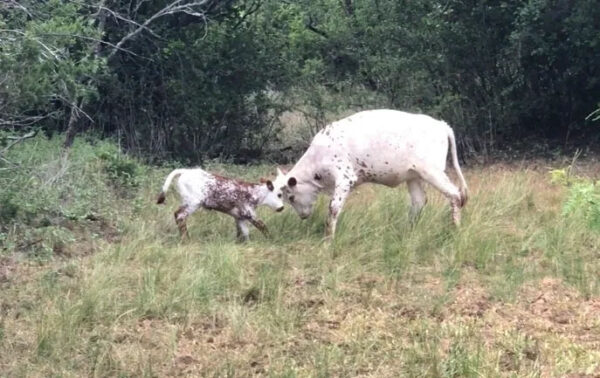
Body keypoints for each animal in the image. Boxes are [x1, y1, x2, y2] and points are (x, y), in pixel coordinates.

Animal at [276, 108, 468, 236]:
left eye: (291, 197)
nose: (302, 216)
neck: (318, 155)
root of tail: (441, 125)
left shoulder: (345, 179)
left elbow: (333, 208)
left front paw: (328, 238)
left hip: (433, 172)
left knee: (454, 195)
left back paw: (455, 229)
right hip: (414, 176)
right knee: (419, 201)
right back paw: (408, 231)